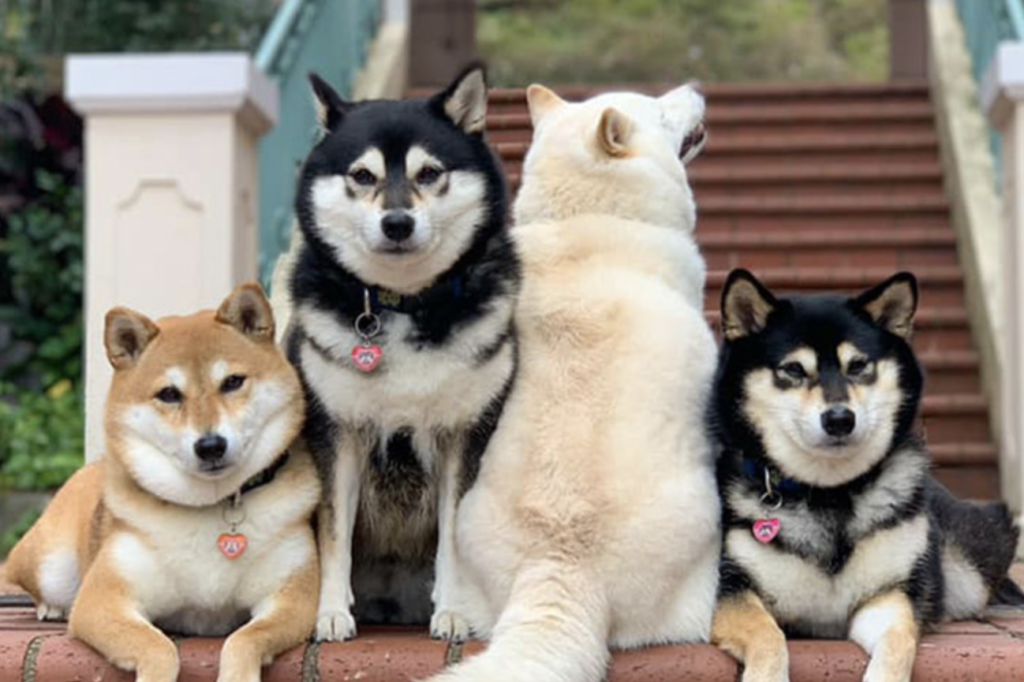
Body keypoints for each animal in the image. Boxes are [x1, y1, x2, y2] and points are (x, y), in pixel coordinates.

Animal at [4, 284, 319, 682]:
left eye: (232, 382)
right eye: (169, 394)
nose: (211, 445)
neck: (210, 505)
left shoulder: (294, 597)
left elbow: (244, 639)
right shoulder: (103, 599)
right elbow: (158, 647)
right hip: (51, 566)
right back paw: (51, 607)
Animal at [280, 63, 518, 642]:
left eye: (429, 173)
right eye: (363, 176)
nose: (397, 223)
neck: (405, 303)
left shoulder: (465, 436)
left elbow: (453, 537)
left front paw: (453, 610)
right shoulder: (336, 435)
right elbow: (333, 535)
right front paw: (330, 613)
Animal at [711, 269, 1024, 682]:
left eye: (858, 366)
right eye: (793, 370)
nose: (840, 419)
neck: (827, 492)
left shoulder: (888, 596)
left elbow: (899, 642)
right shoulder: (731, 591)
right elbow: (768, 637)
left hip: (968, 568)